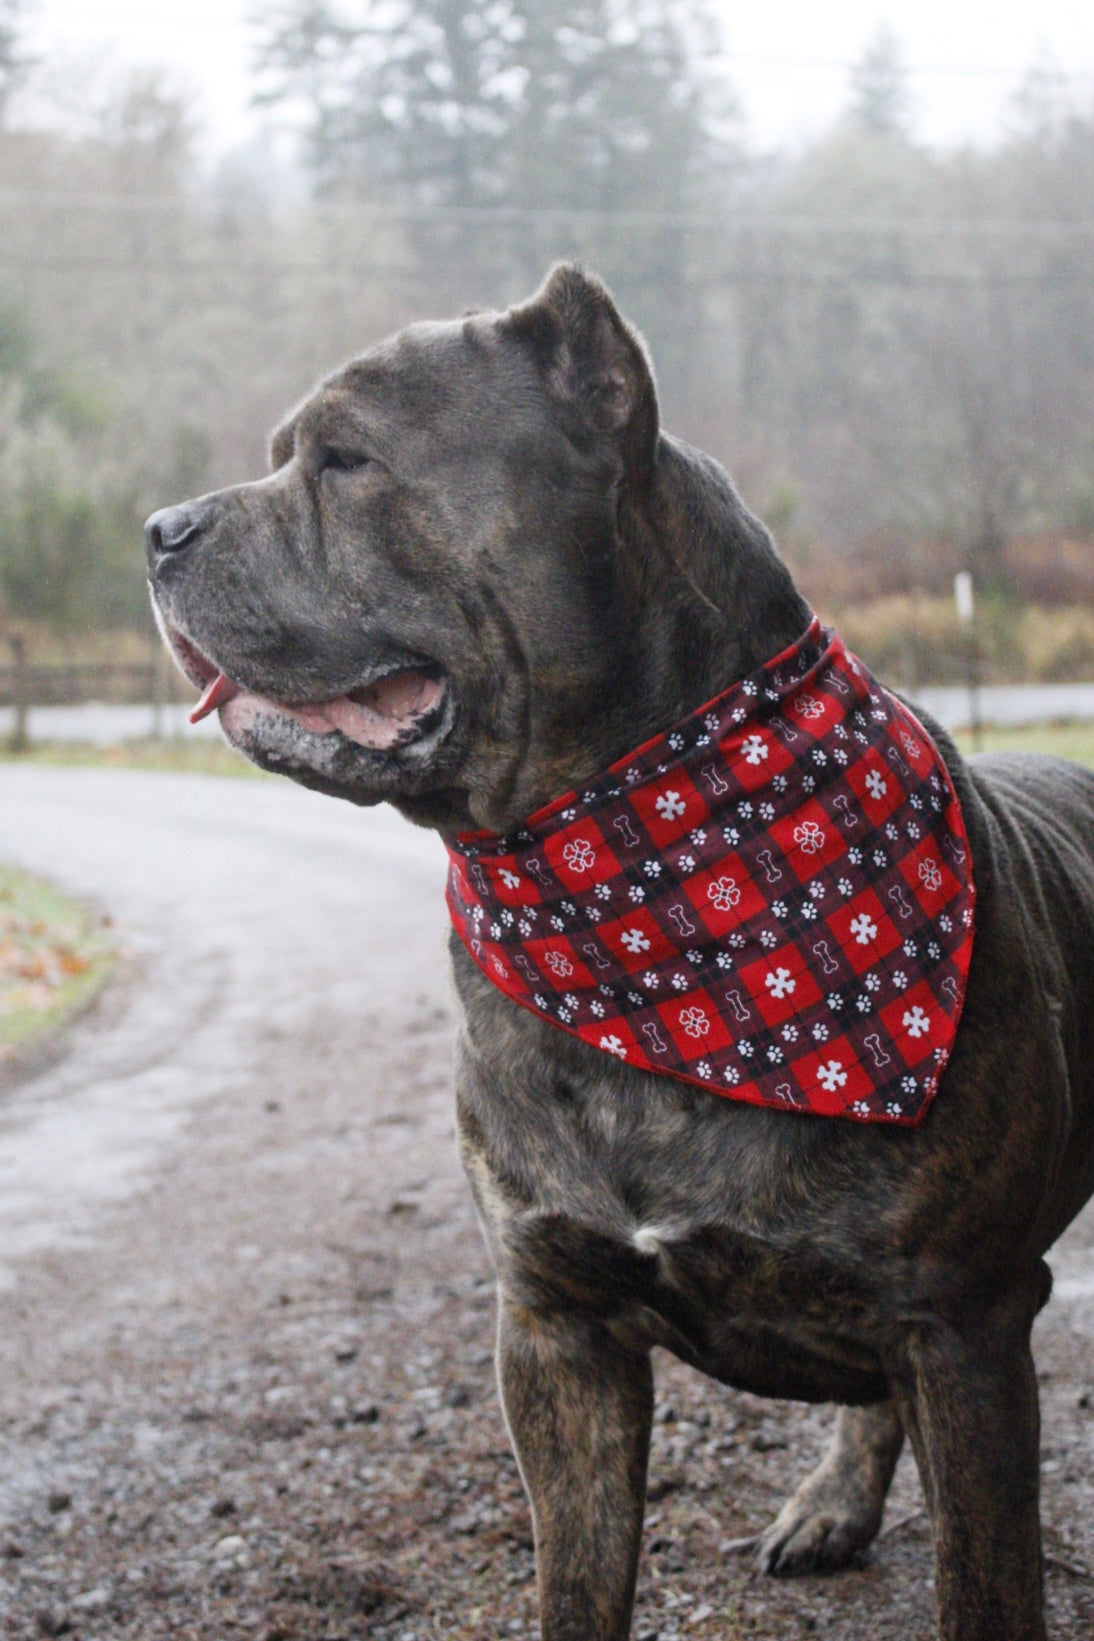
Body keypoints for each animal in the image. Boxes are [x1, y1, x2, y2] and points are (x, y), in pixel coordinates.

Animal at [143, 262, 1094, 1634]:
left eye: (346, 459)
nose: (158, 530)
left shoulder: (961, 1328)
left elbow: (985, 1582)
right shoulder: (557, 1328)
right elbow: (577, 1580)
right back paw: (832, 1506)